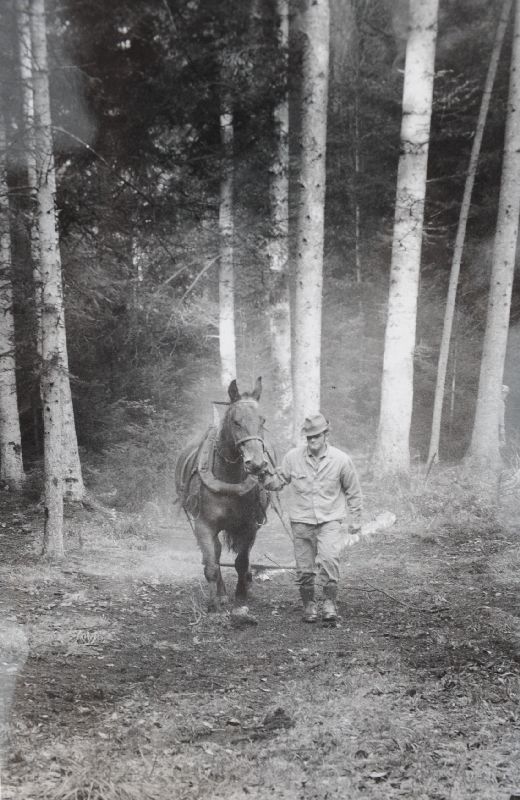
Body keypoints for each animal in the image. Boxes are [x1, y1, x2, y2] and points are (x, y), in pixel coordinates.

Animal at [175, 377, 273, 611]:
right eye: (236, 421)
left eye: (262, 420)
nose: (257, 464)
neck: (229, 478)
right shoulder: (203, 526)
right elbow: (211, 564)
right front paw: (215, 602)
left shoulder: (249, 526)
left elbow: (241, 562)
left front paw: (241, 593)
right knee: (215, 554)